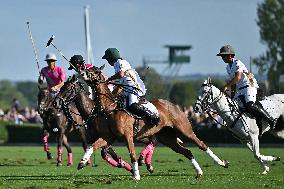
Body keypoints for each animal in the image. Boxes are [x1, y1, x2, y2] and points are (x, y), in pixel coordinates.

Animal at [62, 66, 229, 180]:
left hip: (184, 129)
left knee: (202, 144)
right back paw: (199, 172)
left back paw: (222, 163)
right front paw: (82, 162)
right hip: (167, 137)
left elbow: (132, 154)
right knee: (186, 151)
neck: (109, 108)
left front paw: (135, 174)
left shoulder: (128, 135)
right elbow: (92, 146)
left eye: (95, 71)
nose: (81, 72)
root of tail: (174, 105)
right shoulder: (109, 137)